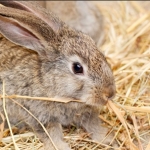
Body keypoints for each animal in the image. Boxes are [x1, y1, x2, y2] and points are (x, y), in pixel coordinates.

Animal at [0, 1, 115, 150]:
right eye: (77, 68)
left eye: (98, 50)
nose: (110, 93)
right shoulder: (40, 116)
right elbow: (52, 134)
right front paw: (61, 147)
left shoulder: (86, 113)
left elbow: (93, 126)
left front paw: (108, 139)